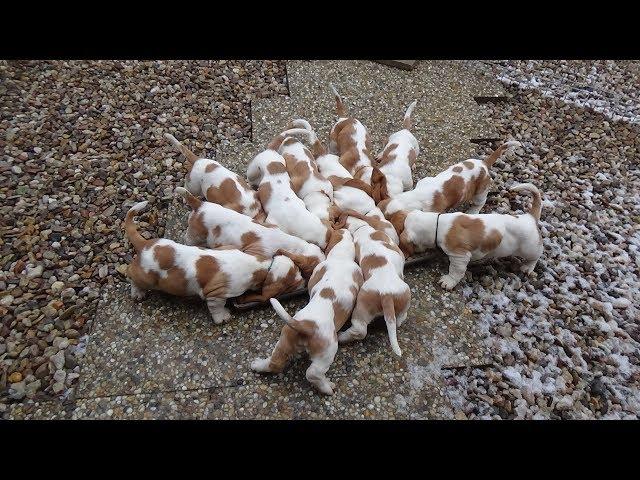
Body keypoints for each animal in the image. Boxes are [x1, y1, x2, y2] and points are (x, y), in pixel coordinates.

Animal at [336, 210, 410, 356]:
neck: (361, 228)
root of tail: (386, 294)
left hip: (362, 308)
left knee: (361, 330)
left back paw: (341, 336)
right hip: (403, 295)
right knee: (399, 319)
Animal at [398, 183, 544, 288]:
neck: (438, 224)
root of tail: (530, 217)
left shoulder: (460, 256)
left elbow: (456, 271)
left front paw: (449, 281)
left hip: (529, 249)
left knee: (535, 257)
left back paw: (528, 267)